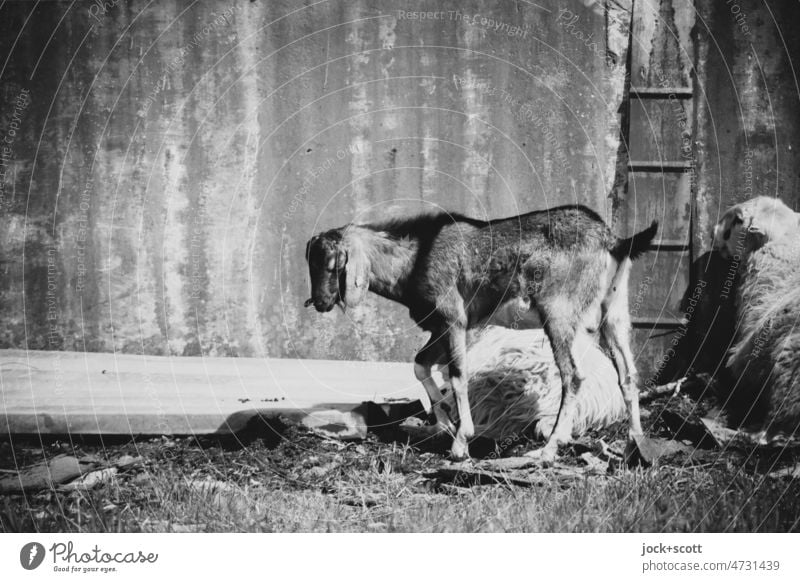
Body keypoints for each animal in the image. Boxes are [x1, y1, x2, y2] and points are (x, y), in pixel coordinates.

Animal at [306, 208, 656, 464]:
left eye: (333, 263)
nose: (320, 303)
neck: (416, 258)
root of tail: (613, 241)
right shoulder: (443, 327)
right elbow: (420, 365)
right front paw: (445, 423)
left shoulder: (454, 320)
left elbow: (457, 374)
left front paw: (461, 442)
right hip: (614, 312)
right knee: (628, 375)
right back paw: (634, 445)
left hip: (559, 312)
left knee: (573, 375)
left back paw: (548, 450)